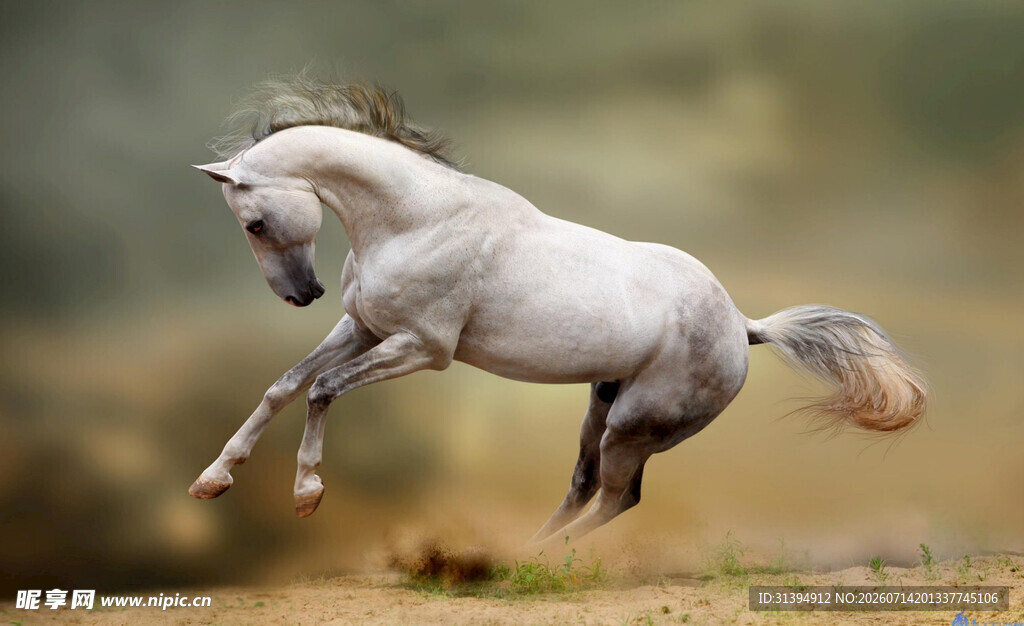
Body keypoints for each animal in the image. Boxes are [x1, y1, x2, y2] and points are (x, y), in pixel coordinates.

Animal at [189, 77, 926, 543]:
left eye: (254, 223)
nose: (301, 294)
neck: (417, 219)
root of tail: (744, 328)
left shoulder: (423, 349)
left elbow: (322, 388)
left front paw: (307, 495)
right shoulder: (364, 327)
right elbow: (285, 385)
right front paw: (213, 480)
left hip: (635, 424)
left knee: (618, 497)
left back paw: (549, 561)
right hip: (601, 407)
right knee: (583, 485)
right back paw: (524, 556)